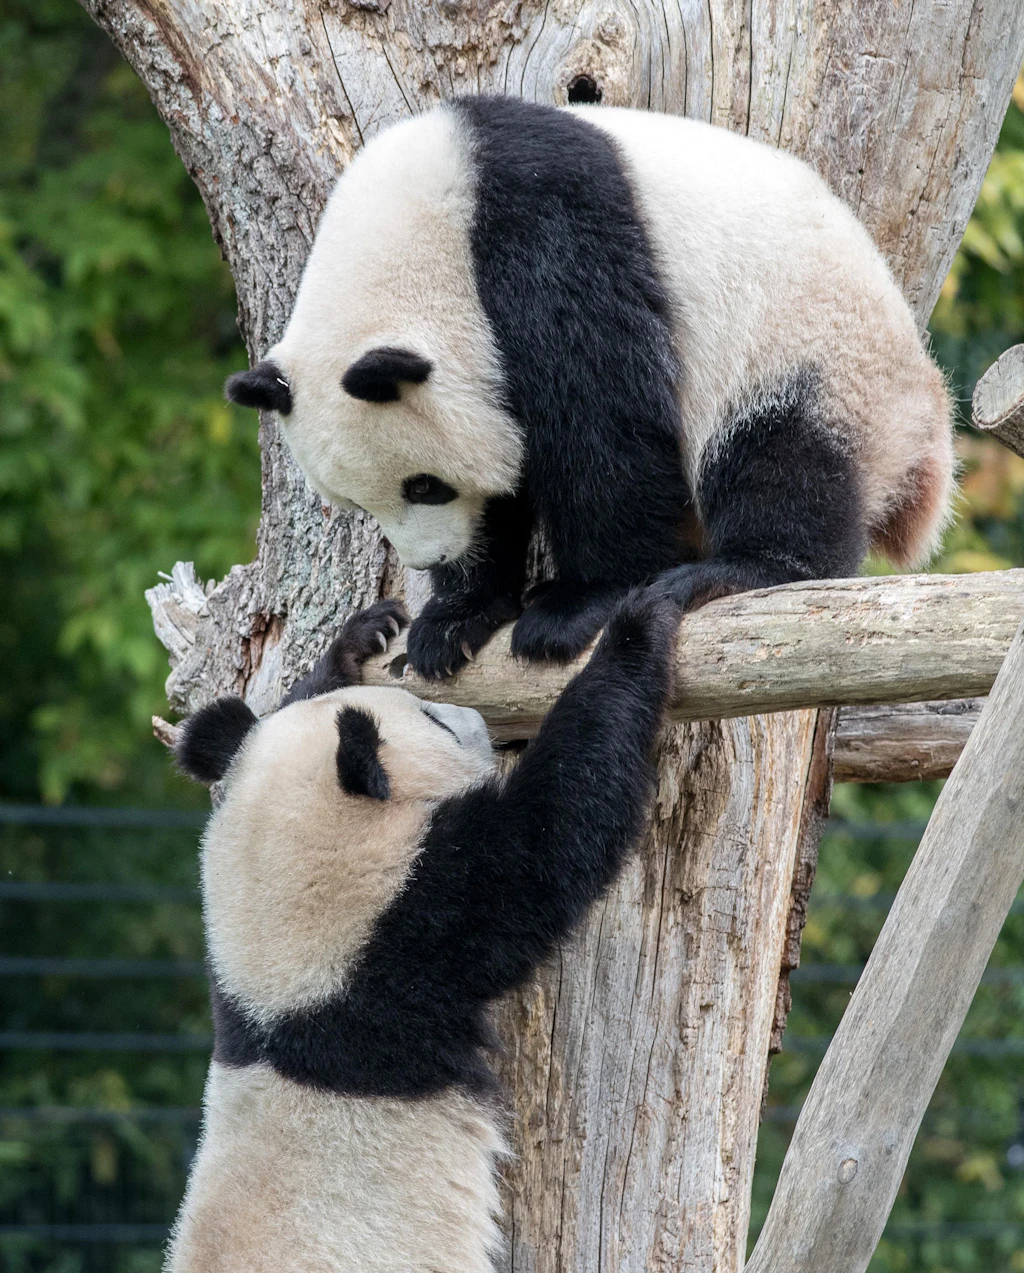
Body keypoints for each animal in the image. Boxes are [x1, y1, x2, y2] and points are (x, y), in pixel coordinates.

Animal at [167, 593, 677, 1273]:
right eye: (435, 720)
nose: (479, 718)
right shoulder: (411, 930)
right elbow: (551, 839)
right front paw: (636, 626)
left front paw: (358, 639)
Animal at [226, 96, 954, 680]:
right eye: (355, 502)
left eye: (424, 486)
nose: (435, 554)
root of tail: (928, 436)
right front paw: (453, 620)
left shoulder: (546, 236)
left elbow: (602, 425)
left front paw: (572, 607)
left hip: (817, 352)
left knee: (782, 454)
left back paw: (744, 569)